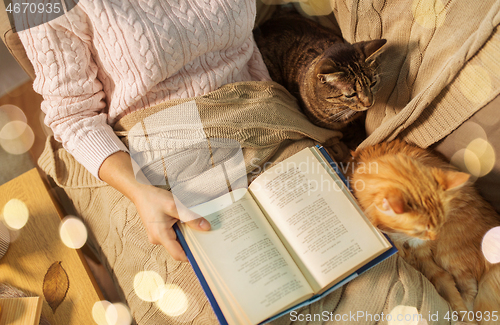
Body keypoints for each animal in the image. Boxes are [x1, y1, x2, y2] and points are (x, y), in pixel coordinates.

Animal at [348, 140, 500, 322]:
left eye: (440, 223)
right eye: (420, 230)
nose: (434, 238)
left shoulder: (424, 254)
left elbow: (449, 289)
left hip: (448, 255)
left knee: (470, 290)